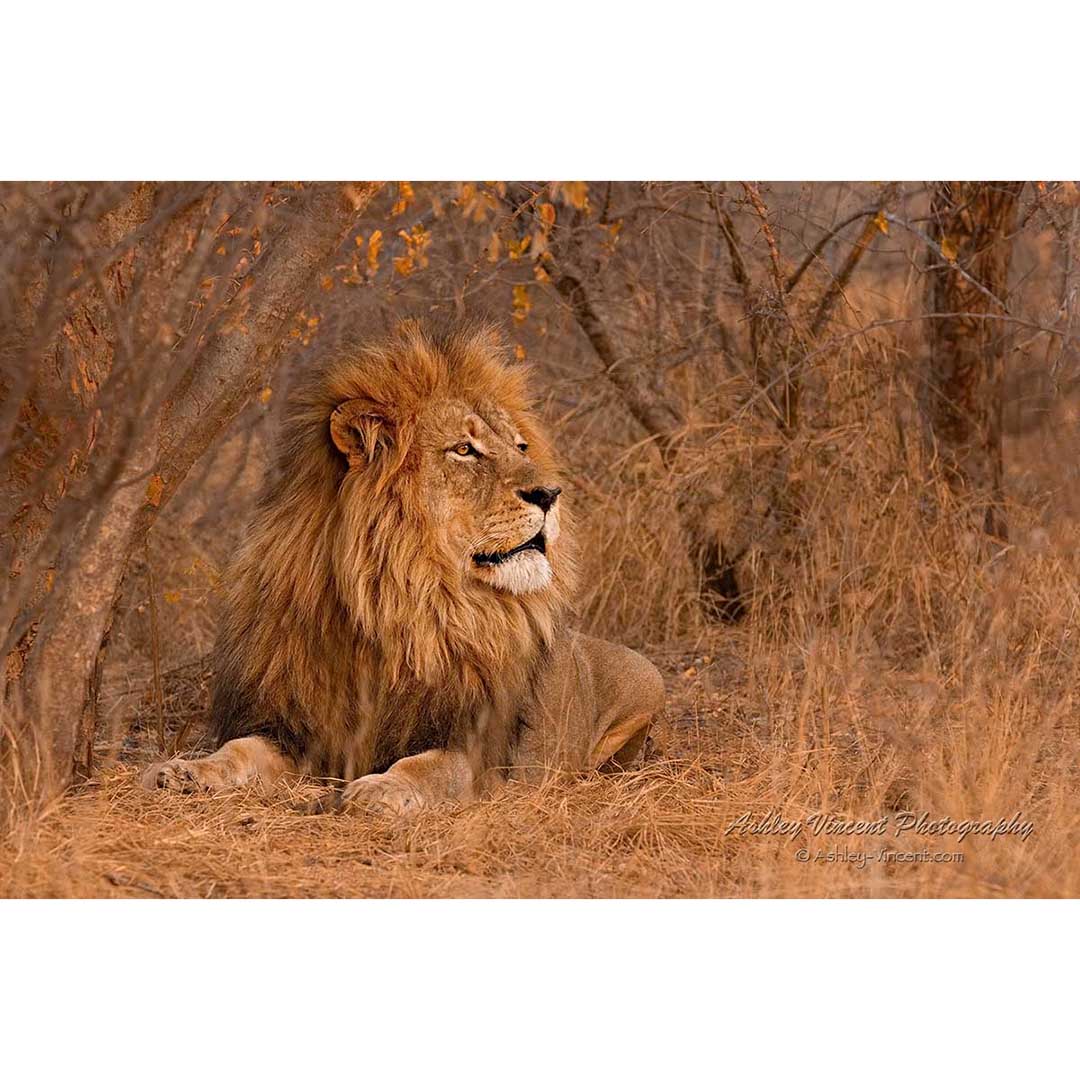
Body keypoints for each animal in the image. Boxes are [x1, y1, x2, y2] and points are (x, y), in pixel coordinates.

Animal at [142, 320, 664, 814]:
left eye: (520, 447)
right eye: (464, 449)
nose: (552, 494)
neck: (400, 606)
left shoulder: (475, 749)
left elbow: (424, 767)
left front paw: (379, 788)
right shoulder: (296, 727)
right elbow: (239, 749)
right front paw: (185, 771)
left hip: (648, 685)